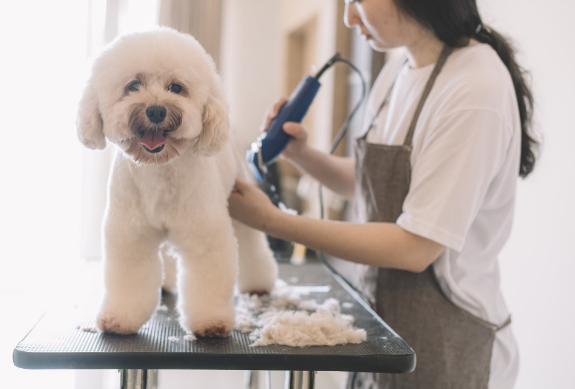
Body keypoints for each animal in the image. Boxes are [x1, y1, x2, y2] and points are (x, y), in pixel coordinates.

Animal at [76, 26, 280, 336]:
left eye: (176, 88)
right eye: (133, 85)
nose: (156, 110)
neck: (159, 171)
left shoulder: (205, 236)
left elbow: (208, 281)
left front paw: (210, 322)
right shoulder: (131, 237)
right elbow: (128, 281)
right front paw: (120, 318)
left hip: (241, 205)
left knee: (252, 248)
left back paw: (258, 283)